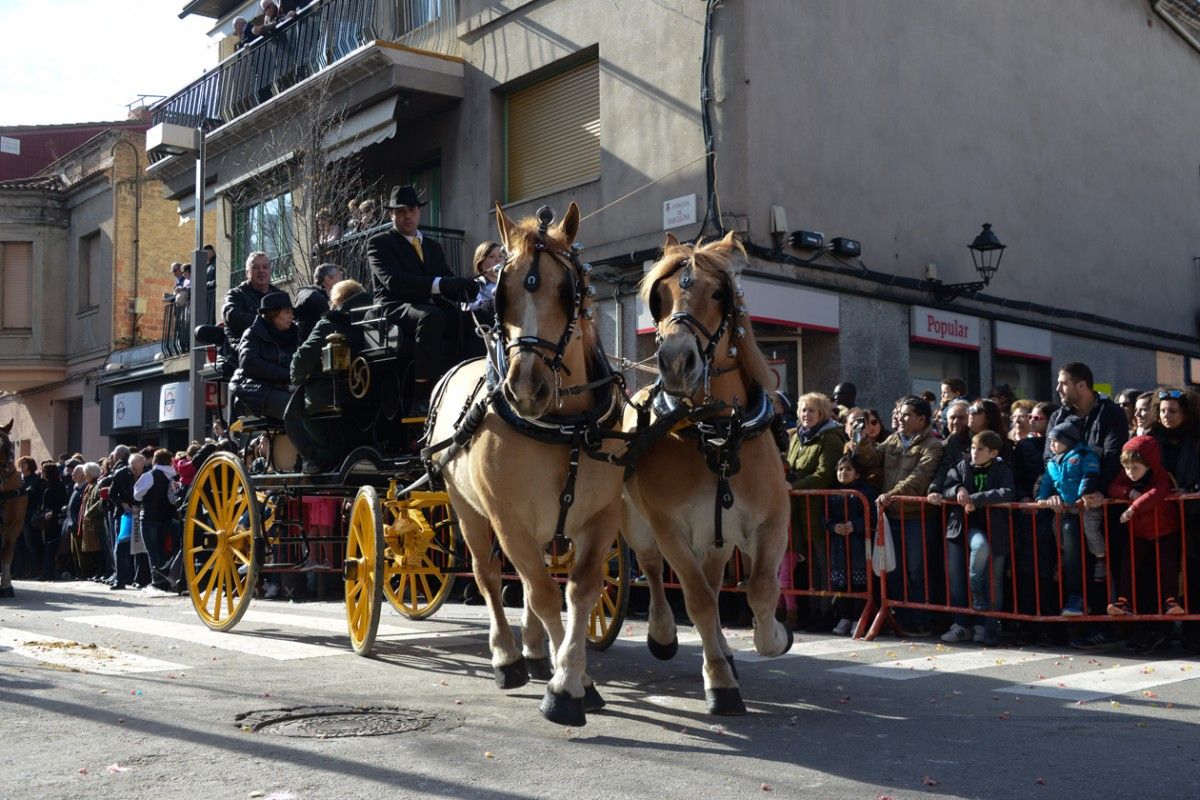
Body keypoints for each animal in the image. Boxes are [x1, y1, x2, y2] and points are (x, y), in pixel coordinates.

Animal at [424, 203, 628, 729]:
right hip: (466, 508)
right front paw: (568, 687)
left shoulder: (601, 518)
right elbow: (539, 591)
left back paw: (536, 651)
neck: (563, 425)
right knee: (490, 575)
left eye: (567, 291)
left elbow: (578, 592)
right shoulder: (508, 518)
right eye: (504, 292)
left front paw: (570, 675)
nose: (526, 388)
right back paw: (508, 658)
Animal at [619, 230, 796, 714]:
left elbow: (760, 590)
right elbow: (695, 599)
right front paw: (719, 682)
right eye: (659, 297)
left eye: (719, 293)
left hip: (718, 534)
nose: (676, 362)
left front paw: (773, 637)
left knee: (716, 584)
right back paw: (663, 635)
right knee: (652, 569)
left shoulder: (771, 522)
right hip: (635, 523)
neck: (715, 432)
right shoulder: (670, 528)